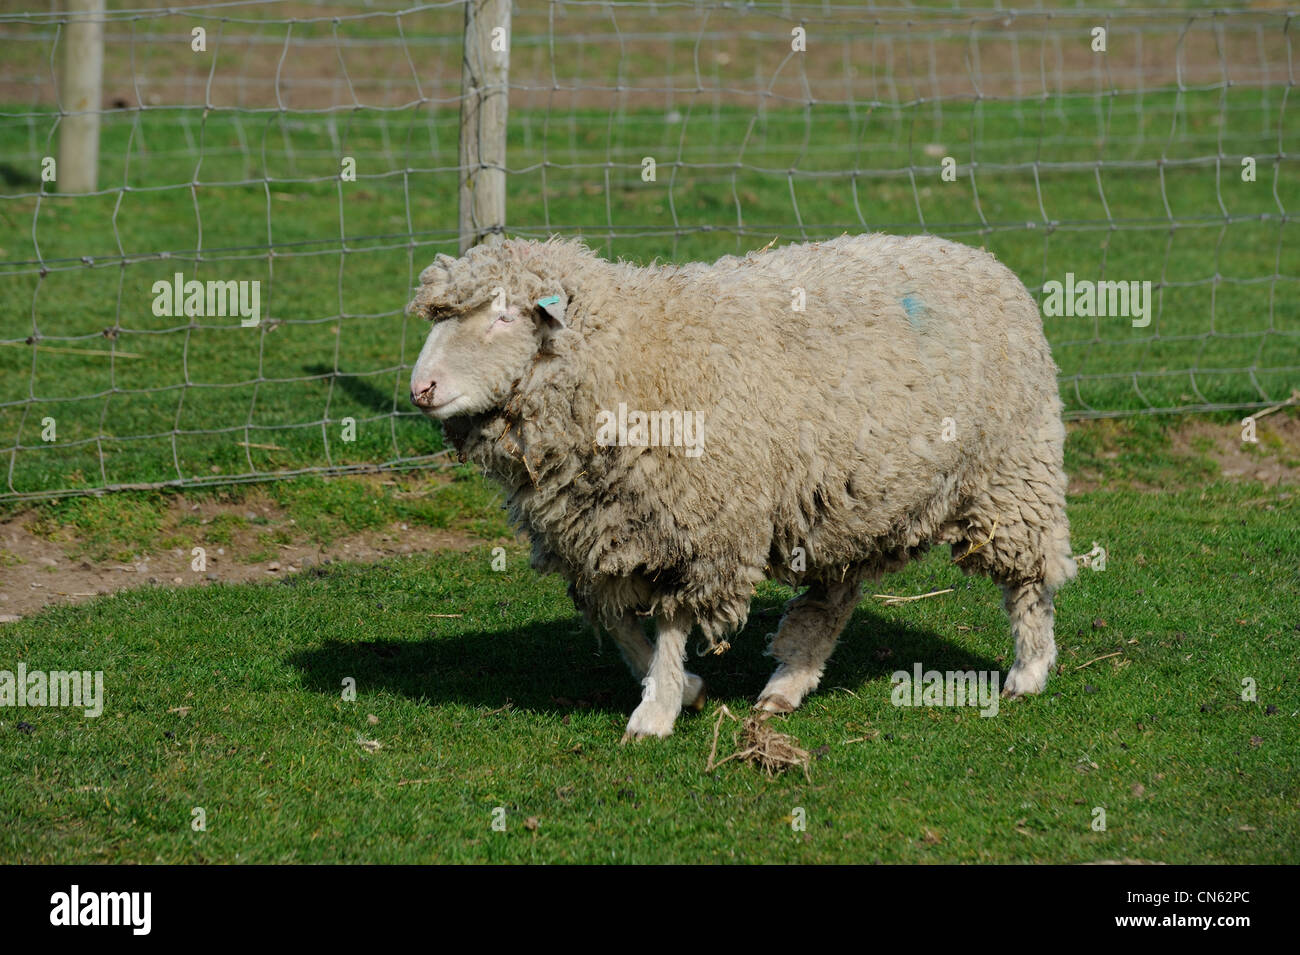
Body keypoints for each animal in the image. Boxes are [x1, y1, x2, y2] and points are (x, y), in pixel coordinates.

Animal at [405, 235, 1076, 743]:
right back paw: (787, 685)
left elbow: (671, 625)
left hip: (1012, 474)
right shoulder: (601, 535)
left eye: (503, 316)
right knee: (833, 597)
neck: (629, 355)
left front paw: (656, 711)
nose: (421, 389)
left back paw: (1030, 669)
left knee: (1031, 579)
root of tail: (980, 256)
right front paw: (685, 690)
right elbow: (621, 626)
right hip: (850, 495)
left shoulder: (701, 526)